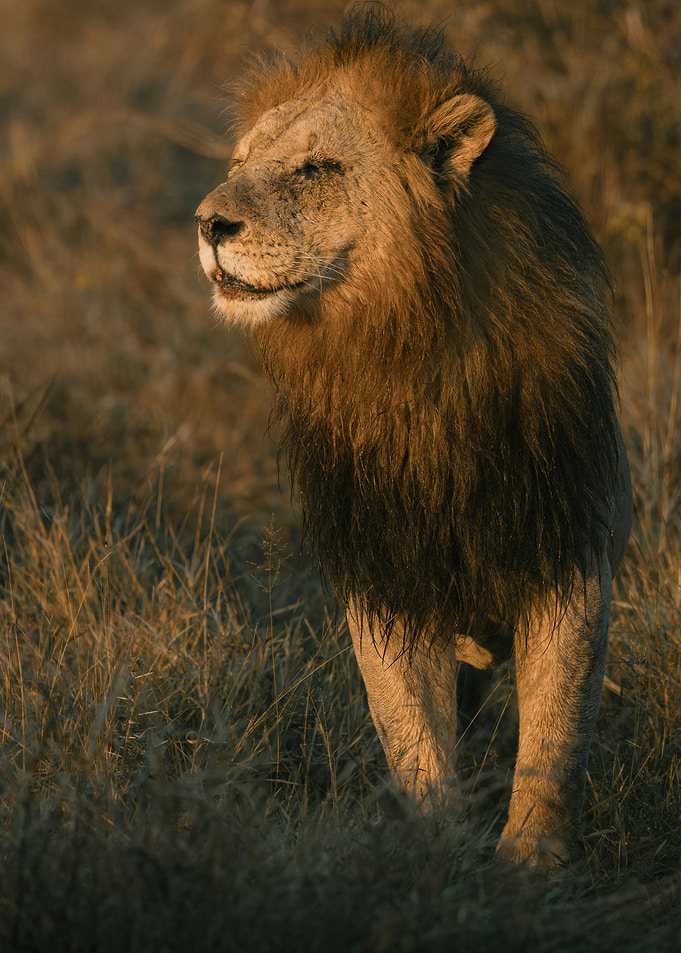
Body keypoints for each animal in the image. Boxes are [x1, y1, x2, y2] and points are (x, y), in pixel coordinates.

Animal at [196, 9, 632, 867]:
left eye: (316, 168)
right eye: (237, 164)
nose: (207, 223)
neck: (405, 352)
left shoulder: (567, 550)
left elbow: (555, 731)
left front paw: (530, 863)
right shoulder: (384, 573)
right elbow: (413, 733)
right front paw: (435, 856)